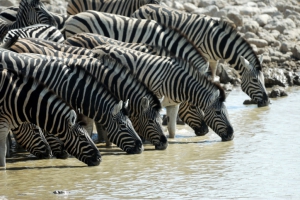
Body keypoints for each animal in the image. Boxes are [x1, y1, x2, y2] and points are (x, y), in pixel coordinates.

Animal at [132, 3, 270, 107]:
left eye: (264, 80)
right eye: (254, 80)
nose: (267, 102)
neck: (217, 41)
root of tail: (142, 7)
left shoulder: (214, 60)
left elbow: (213, 78)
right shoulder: (201, 56)